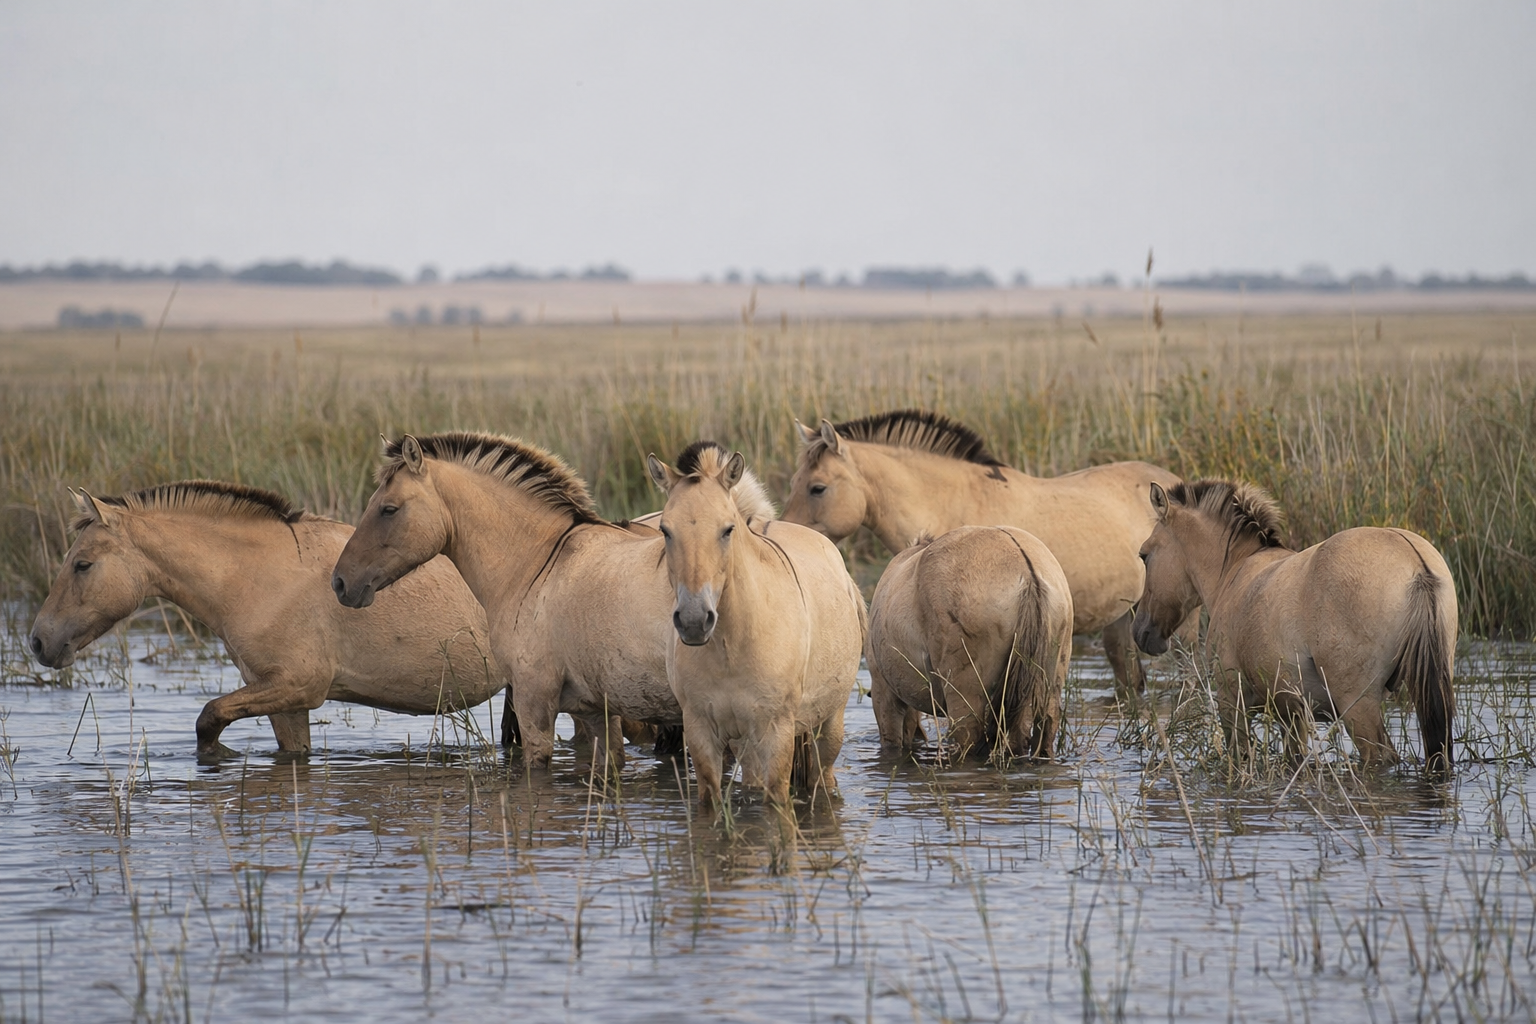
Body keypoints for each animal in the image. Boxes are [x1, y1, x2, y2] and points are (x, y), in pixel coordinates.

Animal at [28, 481, 499, 759]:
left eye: (82, 565)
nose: (38, 641)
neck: (254, 576)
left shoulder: (298, 685)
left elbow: (208, 718)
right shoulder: (284, 700)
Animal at [647, 441, 867, 812]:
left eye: (727, 529)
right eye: (665, 530)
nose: (694, 620)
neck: (732, 646)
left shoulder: (776, 732)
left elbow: (777, 805)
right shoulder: (701, 731)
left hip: (829, 723)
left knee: (822, 779)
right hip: (744, 741)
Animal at [866, 526, 1073, 761]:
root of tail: (1026, 571)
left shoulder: (884, 692)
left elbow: (892, 741)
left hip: (964, 694)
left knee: (970, 740)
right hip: (1047, 684)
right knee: (1042, 731)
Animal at [1132, 479, 1457, 772]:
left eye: (1144, 554)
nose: (1141, 632)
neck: (1236, 571)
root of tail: (1414, 562)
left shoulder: (1232, 701)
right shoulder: (1293, 713)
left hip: (1359, 706)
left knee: (1380, 757)